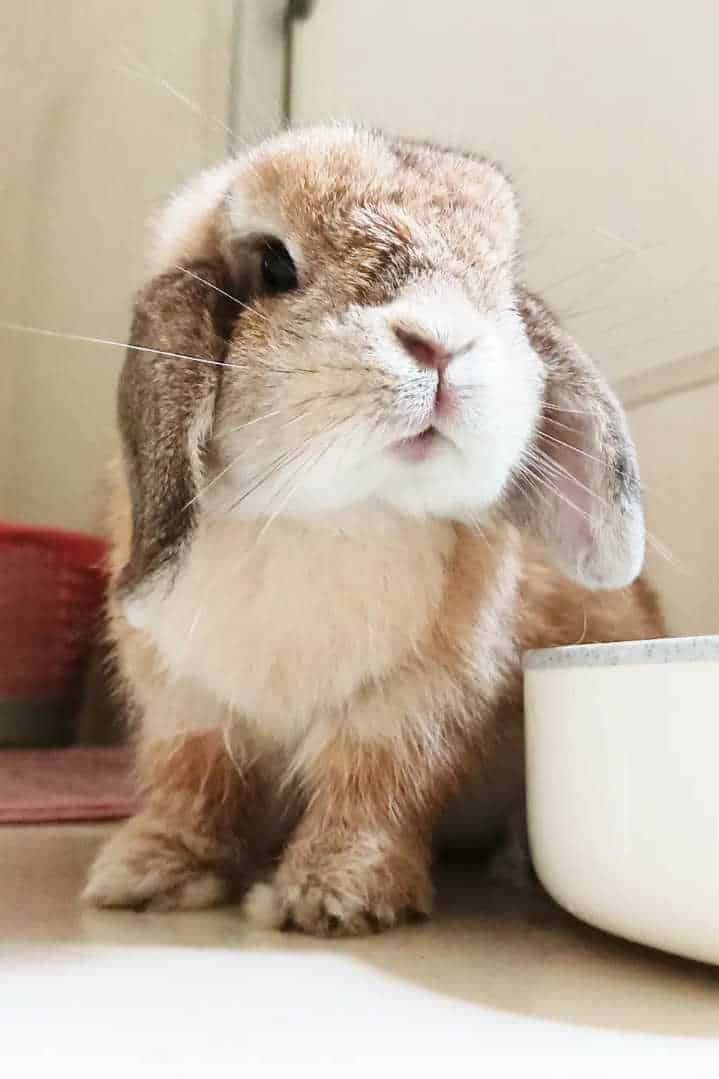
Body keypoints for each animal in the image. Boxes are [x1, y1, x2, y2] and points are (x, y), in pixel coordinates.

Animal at [82, 124, 660, 936]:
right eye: (275, 263)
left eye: (498, 281)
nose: (443, 345)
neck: (322, 515)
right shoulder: (184, 702)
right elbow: (192, 784)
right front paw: (147, 874)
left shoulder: (415, 709)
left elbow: (374, 790)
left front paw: (332, 896)